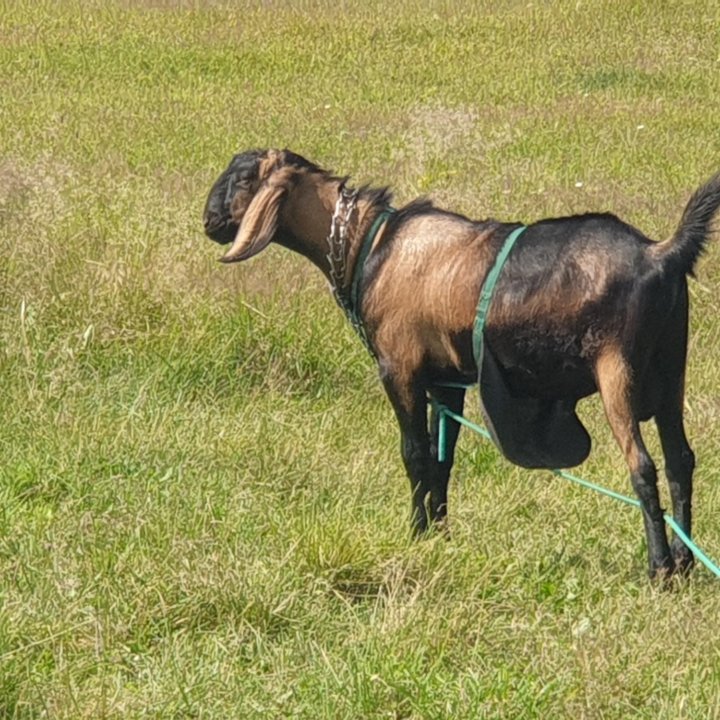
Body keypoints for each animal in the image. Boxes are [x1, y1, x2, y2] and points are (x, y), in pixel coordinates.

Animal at [201, 149, 720, 584]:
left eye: (243, 178)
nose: (209, 220)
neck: (370, 243)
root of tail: (659, 253)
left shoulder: (400, 369)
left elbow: (414, 454)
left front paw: (414, 532)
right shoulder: (446, 380)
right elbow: (442, 460)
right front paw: (440, 533)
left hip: (618, 371)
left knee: (643, 466)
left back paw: (659, 569)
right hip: (671, 370)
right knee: (680, 460)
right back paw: (685, 561)